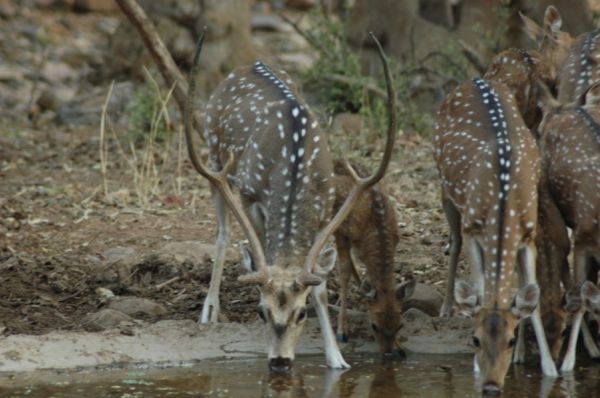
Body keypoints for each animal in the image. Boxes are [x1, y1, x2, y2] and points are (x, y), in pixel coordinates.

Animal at [185, 32, 396, 372]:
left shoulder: (326, 207)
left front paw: (337, 358)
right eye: (261, 311)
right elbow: (259, 253)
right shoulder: (250, 195)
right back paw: (209, 310)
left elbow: (320, 284)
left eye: (302, 313)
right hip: (215, 161)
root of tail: (249, 64)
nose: (280, 362)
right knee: (222, 233)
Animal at [330, 160, 414, 356]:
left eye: (400, 325)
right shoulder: (341, 231)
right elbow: (344, 270)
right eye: (374, 326)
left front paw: (400, 346)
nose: (388, 353)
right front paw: (342, 331)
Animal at [432, 76, 556, 394]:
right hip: (444, 186)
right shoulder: (473, 227)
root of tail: (475, 79)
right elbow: (479, 289)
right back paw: (445, 307)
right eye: (475, 339)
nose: (490, 386)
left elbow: (531, 298)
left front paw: (549, 368)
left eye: (509, 340)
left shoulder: (528, 235)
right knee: (454, 241)